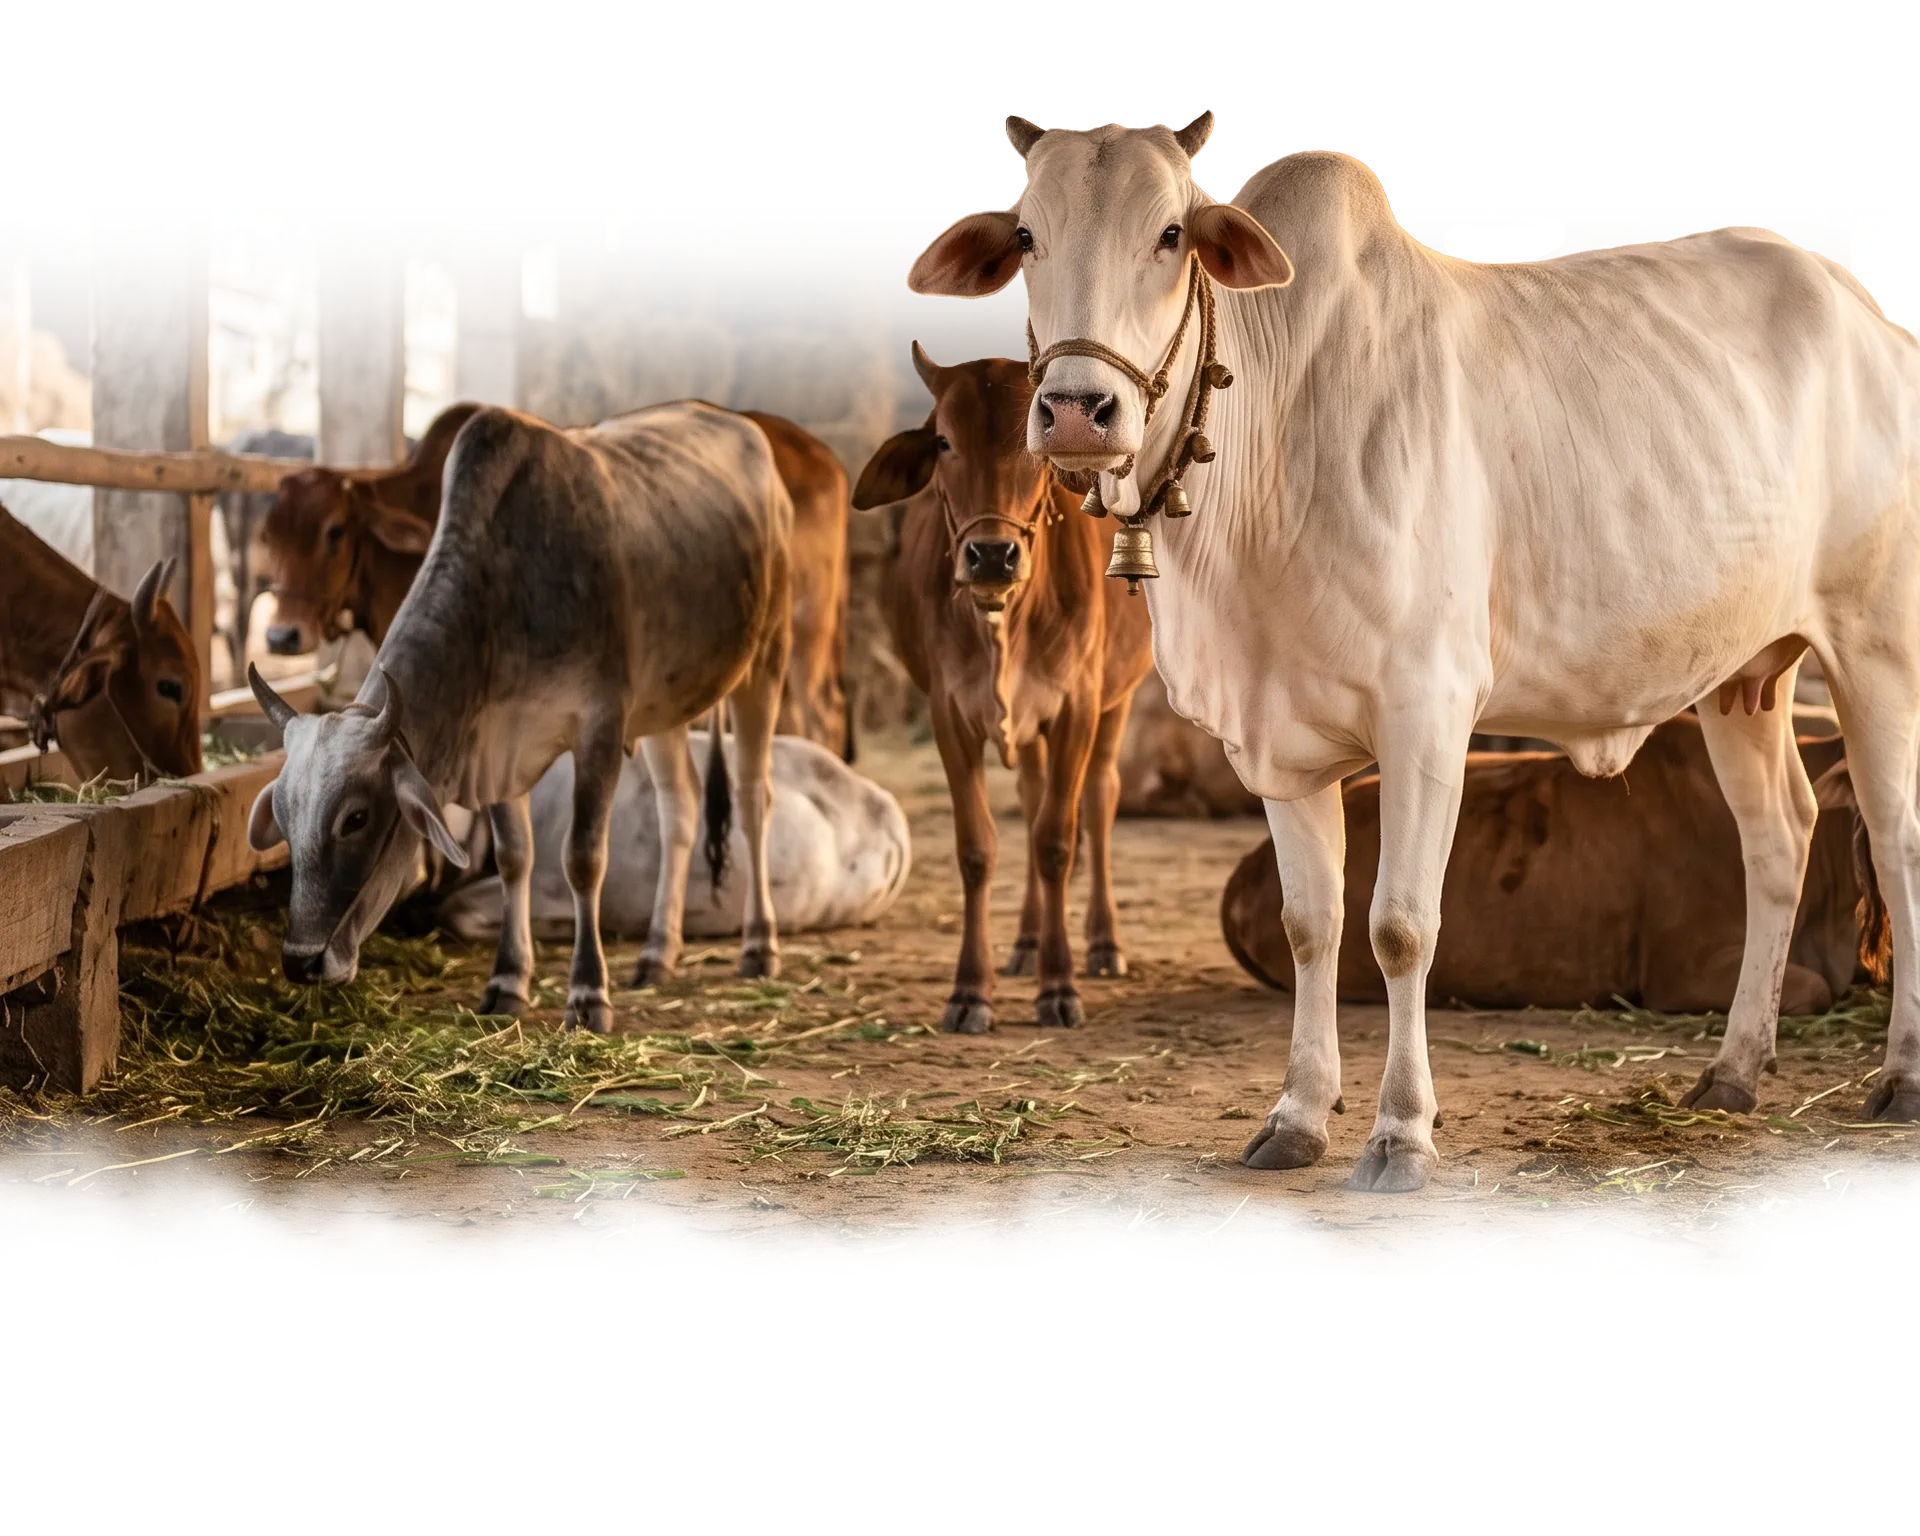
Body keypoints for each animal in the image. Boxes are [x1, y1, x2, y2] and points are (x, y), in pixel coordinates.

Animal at [242, 401, 793, 1034]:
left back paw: (759, 944)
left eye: (355, 819)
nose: (300, 961)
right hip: (665, 706)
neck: (504, 595)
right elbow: (513, 859)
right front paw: (508, 980)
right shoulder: (496, 747)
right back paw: (658, 952)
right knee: (678, 806)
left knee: (753, 799)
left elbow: (583, 858)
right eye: (283, 817)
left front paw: (588, 994)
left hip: (766, 663)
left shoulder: (601, 727)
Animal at [257, 407, 856, 765]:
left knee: (820, 715)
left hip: (802, 632)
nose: (283, 636)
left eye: (335, 531)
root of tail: (821, 456)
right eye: (268, 535)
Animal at [851, 343, 1153, 1032]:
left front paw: (1059, 985)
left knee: (1098, 799)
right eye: (943, 440)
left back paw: (1102, 943)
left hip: (1117, 700)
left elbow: (1056, 841)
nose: (992, 556)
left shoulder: (1076, 709)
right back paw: (1026, 941)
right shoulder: (950, 715)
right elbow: (979, 848)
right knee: (1034, 796)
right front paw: (972, 989)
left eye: (1031, 442)